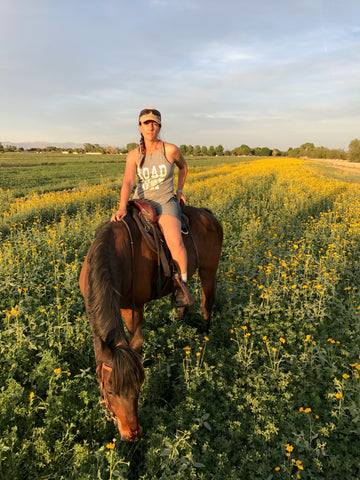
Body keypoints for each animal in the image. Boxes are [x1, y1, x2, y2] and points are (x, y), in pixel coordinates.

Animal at [79, 203, 222, 442]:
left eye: (139, 386)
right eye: (110, 390)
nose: (132, 434)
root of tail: (207, 214)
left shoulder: (133, 308)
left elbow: (136, 342)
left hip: (209, 271)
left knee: (207, 303)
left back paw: (205, 335)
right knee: (186, 299)